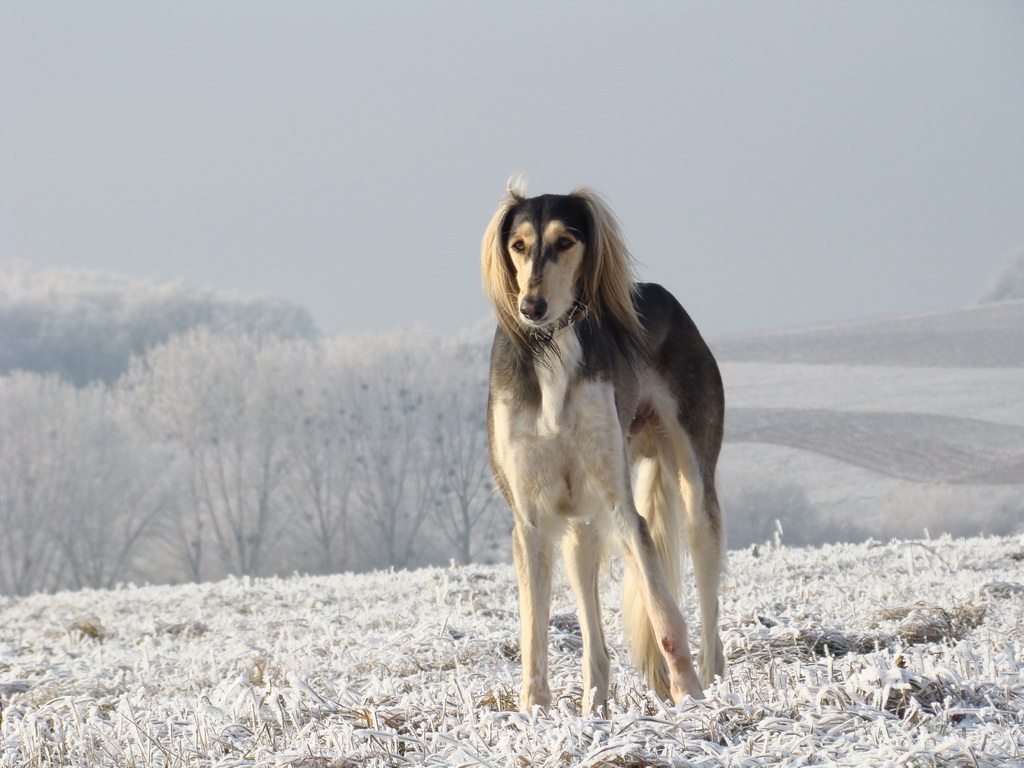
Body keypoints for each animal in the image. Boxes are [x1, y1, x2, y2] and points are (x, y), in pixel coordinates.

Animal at [481, 180, 729, 716]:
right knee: (594, 640)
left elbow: (665, 616)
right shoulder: (530, 520)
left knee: (708, 613)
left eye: (566, 242)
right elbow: (534, 633)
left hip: (695, 491)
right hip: (581, 527)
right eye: (518, 245)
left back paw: (714, 687)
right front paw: (534, 711)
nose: (531, 307)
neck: (551, 350)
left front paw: (689, 700)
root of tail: (659, 292)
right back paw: (594, 709)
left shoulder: (622, 508)